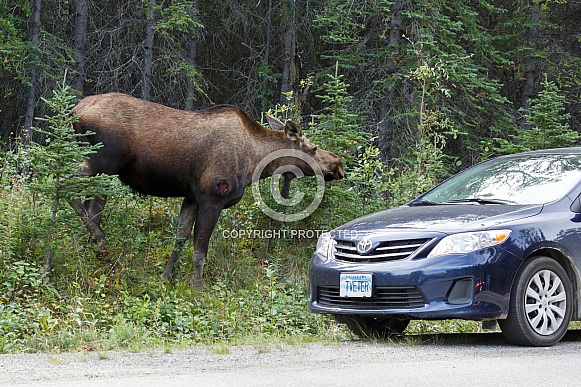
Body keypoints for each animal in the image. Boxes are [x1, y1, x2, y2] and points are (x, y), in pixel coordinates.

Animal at [71, 91, 344, 284]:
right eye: (313, 148)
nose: (338, 164)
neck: (255, 163)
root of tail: (75, 111)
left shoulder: (191, 197)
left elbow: (179, 240)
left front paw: (166, 278)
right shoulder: (212, 196)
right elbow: (200, 250)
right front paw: (197, 286)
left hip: (104, 170)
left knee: (91, 204)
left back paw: (96, 248)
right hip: (102, 161)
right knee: (66, 182)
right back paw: (98, 237)